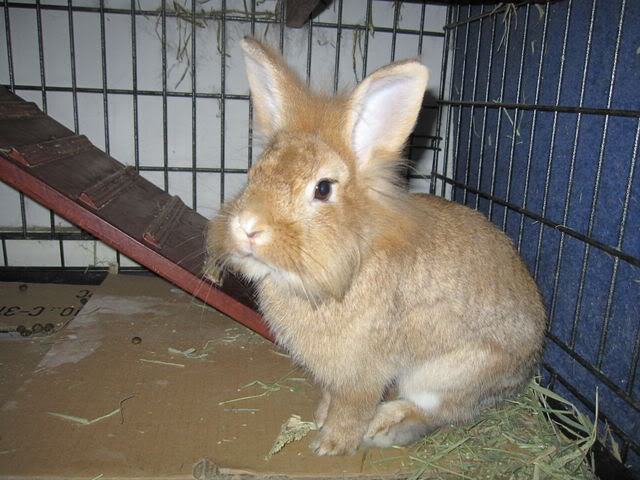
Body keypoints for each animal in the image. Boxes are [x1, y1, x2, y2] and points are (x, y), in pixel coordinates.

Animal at [208, 35, 548, 456]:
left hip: (443, 373)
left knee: (439, 410)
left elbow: (353, 407)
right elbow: (332, 398)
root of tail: (527, 367)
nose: (248, 227)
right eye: (254, 172)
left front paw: (332, 444)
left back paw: (385, 427)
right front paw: (320, 416)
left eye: (323, 189)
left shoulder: (363, 372)